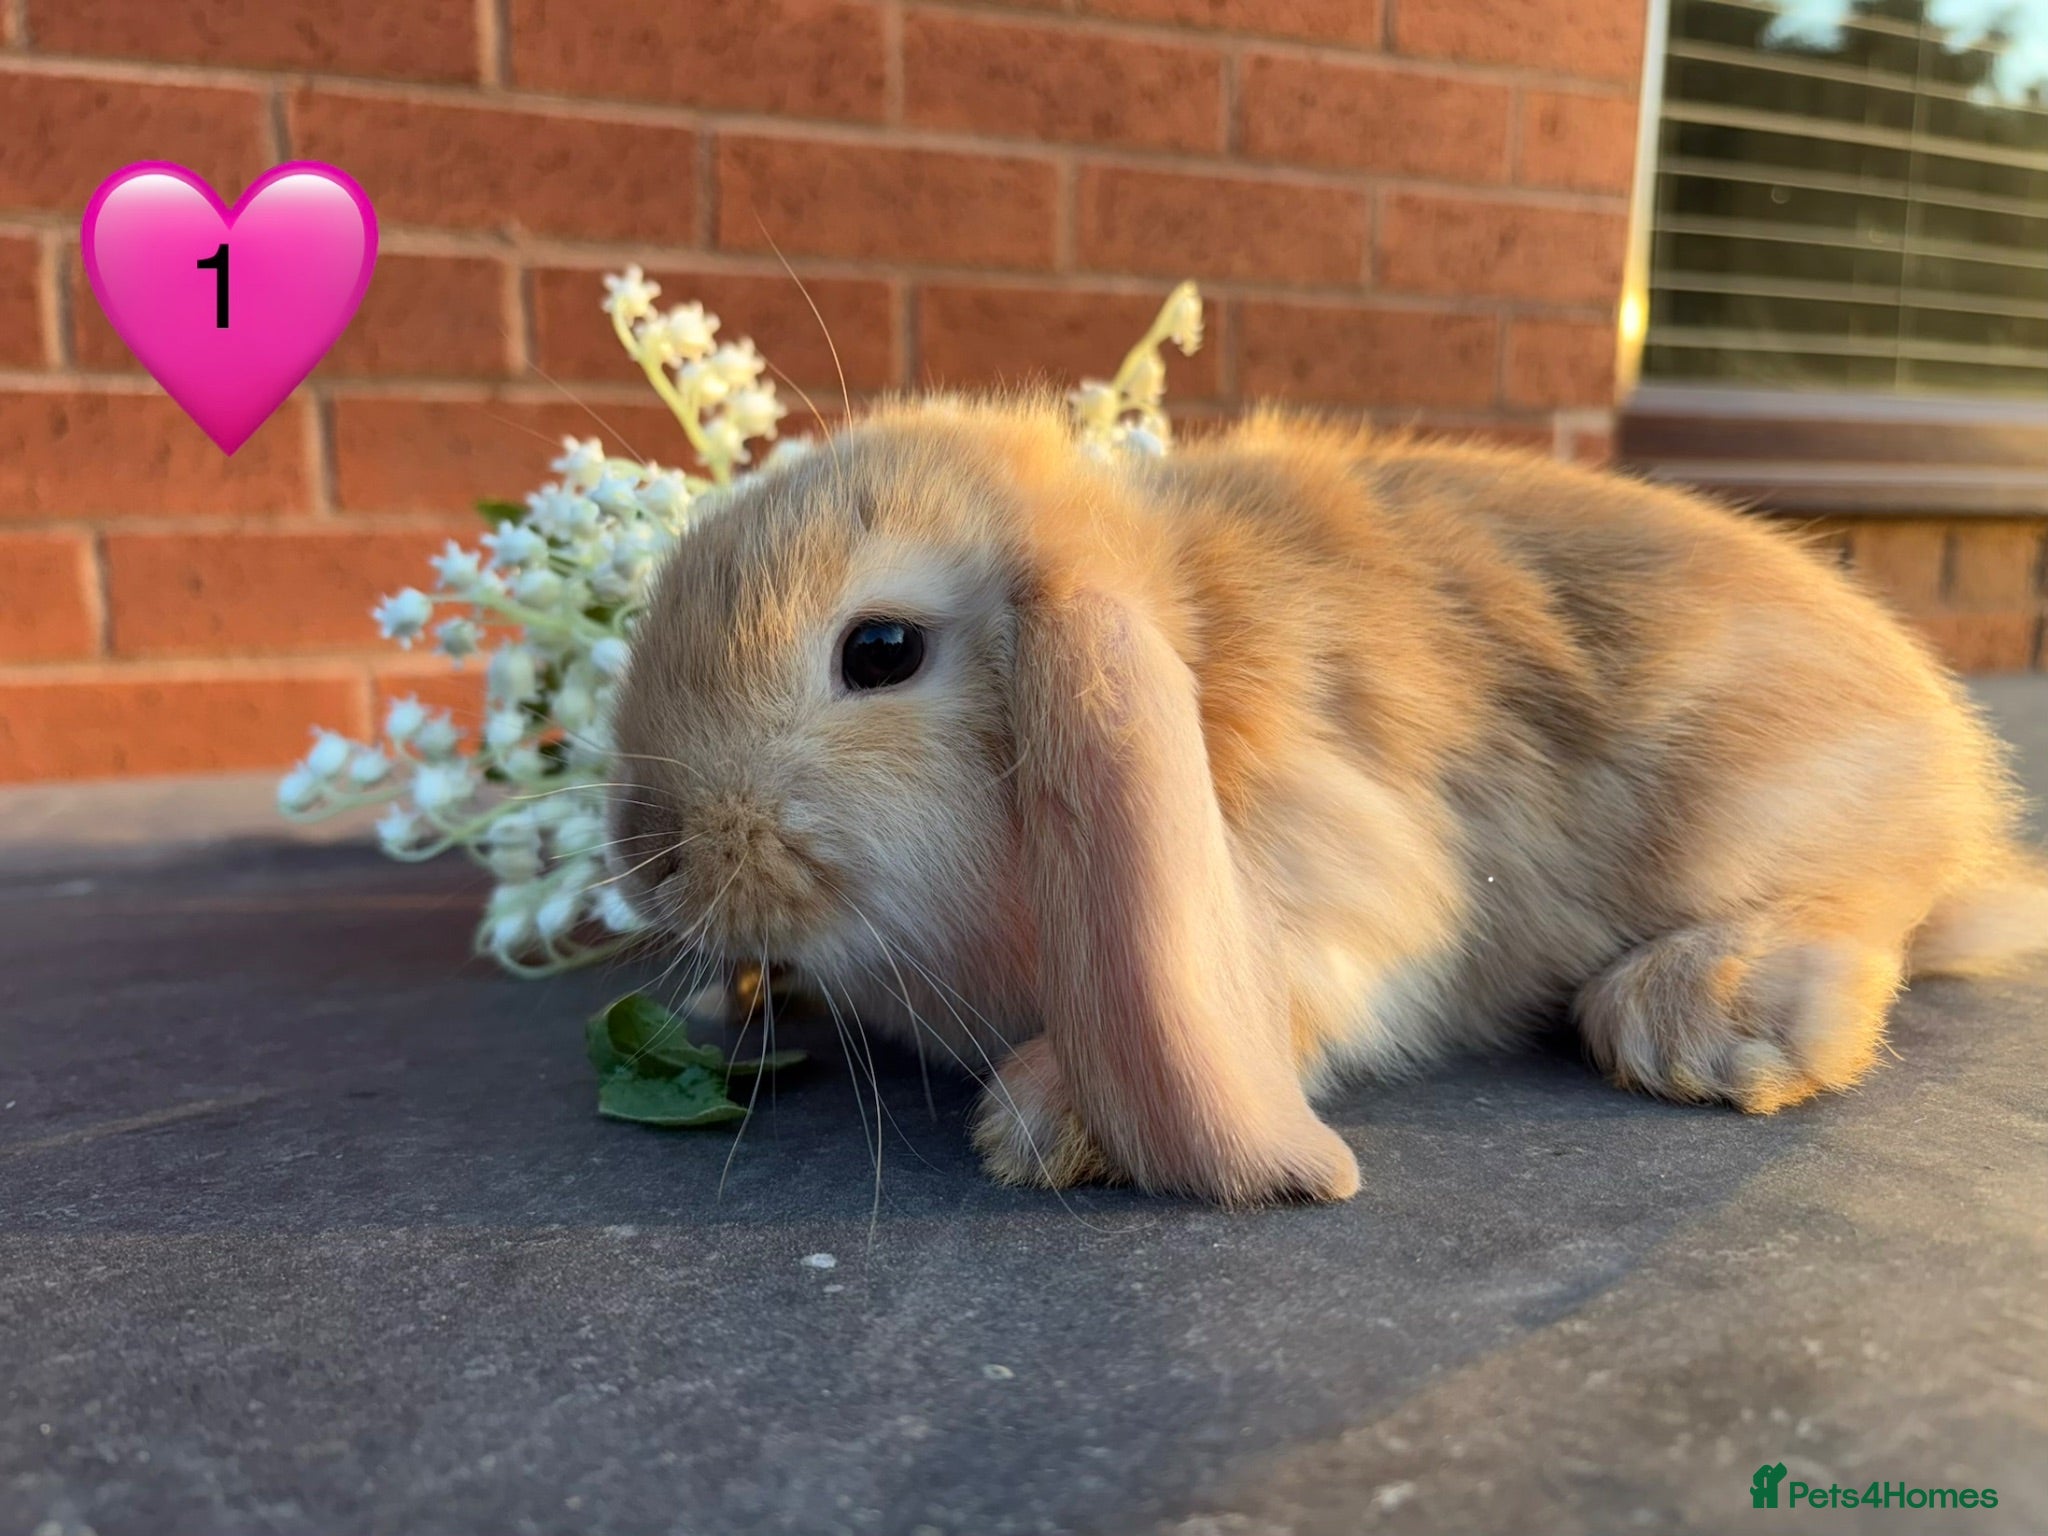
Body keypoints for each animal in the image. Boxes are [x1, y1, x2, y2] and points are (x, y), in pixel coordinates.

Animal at [604, 398, 2048, 1206]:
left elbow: (1301, 981)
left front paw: (1050, 1119)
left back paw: (1707, 1016)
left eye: (881, 652)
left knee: (1870, 912)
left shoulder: (1340, 873)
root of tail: (1952, 768)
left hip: (1764, 814)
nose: (648, 853)